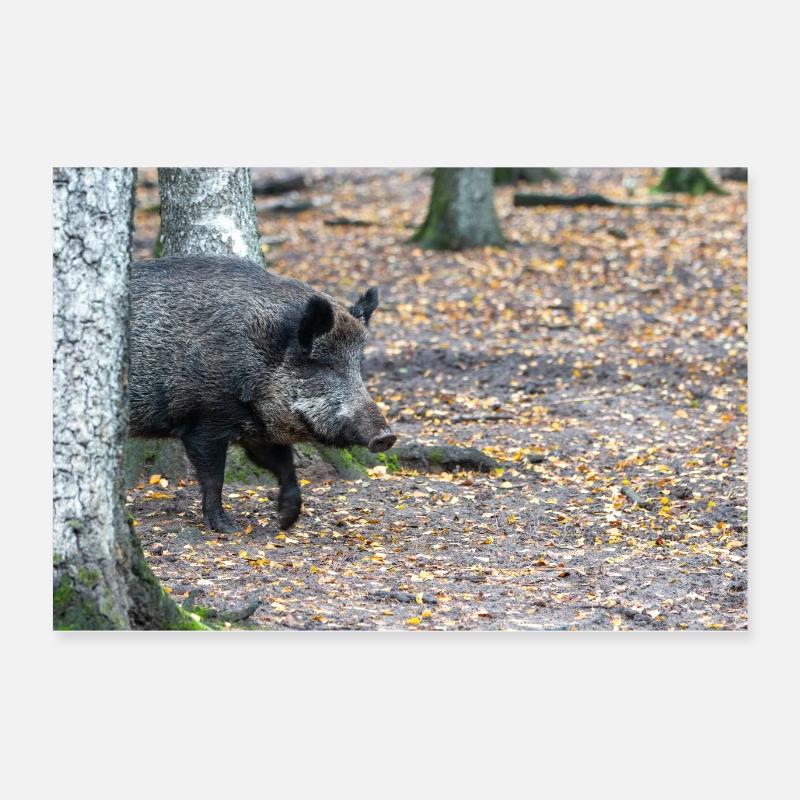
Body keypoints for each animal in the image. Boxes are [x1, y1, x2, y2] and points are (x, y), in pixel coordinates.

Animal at [128, 255, 396, 532]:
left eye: (358, 366)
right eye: (327, 365)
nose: (386, 436)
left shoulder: (257, 429)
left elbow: (285, 466)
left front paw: (286, 521)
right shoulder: (205, 420)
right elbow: (214, 477)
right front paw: (228, 528)